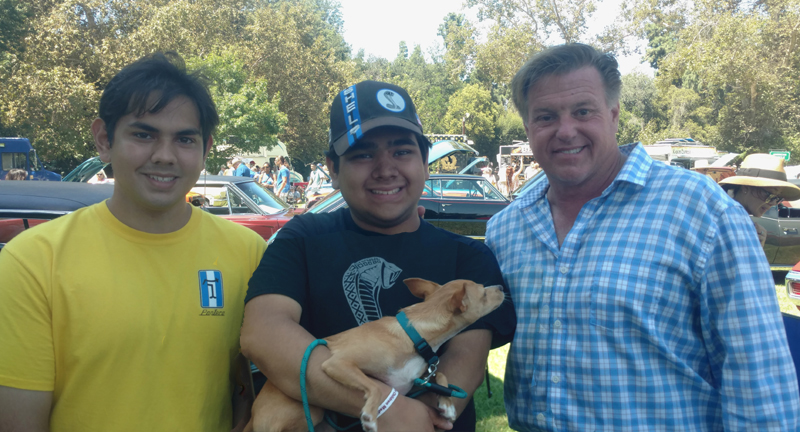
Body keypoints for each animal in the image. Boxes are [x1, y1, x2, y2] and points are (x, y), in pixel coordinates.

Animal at [245, 278, 505, 432]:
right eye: (483, 294)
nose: (502, 287)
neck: (414, 334)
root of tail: (252, 417)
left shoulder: (410, 383)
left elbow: (440, 376)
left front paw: (447, 404)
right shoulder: (338, 363)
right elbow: (376, 387)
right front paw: (370, 416)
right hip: (307, 409)